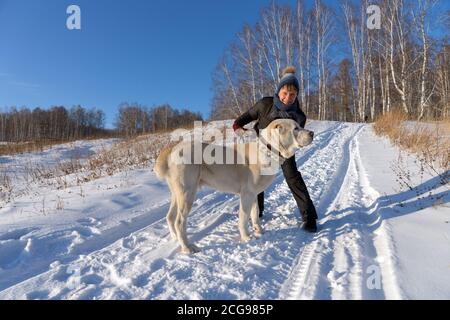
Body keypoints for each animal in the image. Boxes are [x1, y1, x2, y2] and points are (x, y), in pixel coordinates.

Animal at [154, 119, 312, 254]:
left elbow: (255, 214)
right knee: (179, 221)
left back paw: (176, 239)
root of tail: (173, 148)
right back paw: (187, 248)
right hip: (187, 193)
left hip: (177, 193)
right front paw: (246, 237)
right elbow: (243, 217)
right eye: (296, 128)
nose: (311, 133)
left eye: (300, 125)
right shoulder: (246, 195)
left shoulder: (254, 194)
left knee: (170, 217)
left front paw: (259, 231)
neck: (268, 150)